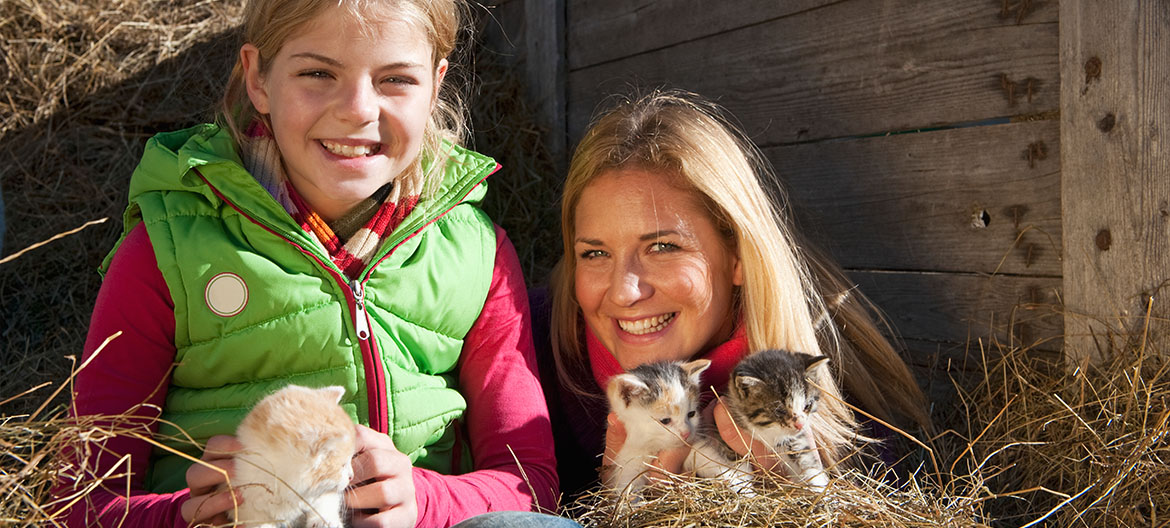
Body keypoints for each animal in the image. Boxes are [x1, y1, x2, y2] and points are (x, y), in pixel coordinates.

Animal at [228, 384, 353, 528]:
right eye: (342, 465)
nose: (352, 476)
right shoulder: (242, 499)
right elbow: (257, 520)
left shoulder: (321, 492)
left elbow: (324, 502)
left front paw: (325, 521)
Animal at [683, 348, 833, 494]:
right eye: (780, 411)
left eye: (807, 406)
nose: (800, 425)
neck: (765, 431)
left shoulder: (792, 439)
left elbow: (804, 457)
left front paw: (818, 486)